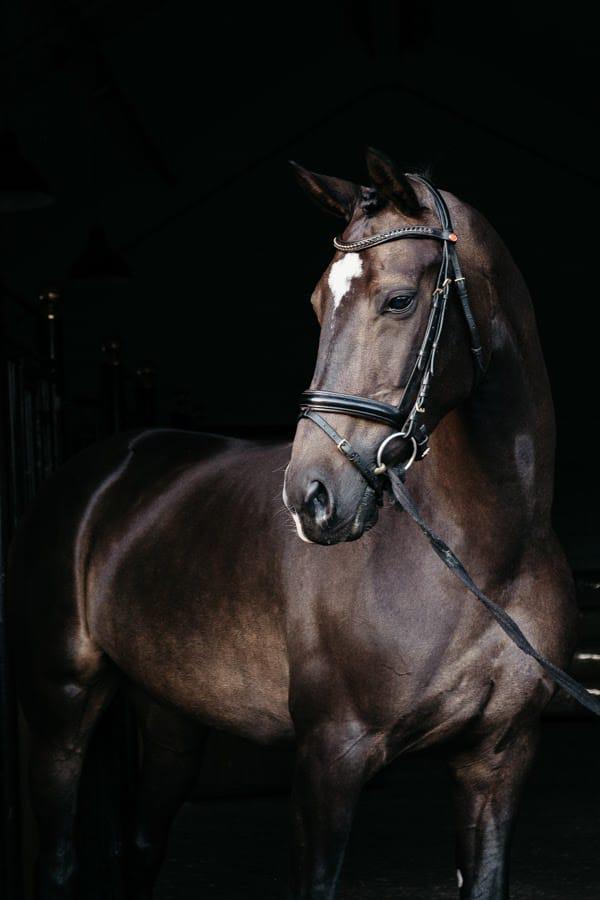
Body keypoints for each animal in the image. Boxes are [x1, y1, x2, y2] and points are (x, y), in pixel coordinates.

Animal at [9, 147, 577, 900]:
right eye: (316, 303)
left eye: (399, 299)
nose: (311, 497)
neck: (484, 557)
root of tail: (101, 469)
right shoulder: (328, 758)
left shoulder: (497, 760)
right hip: (61, 703)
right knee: (58, 859)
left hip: (169, 716)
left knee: (142, 843)